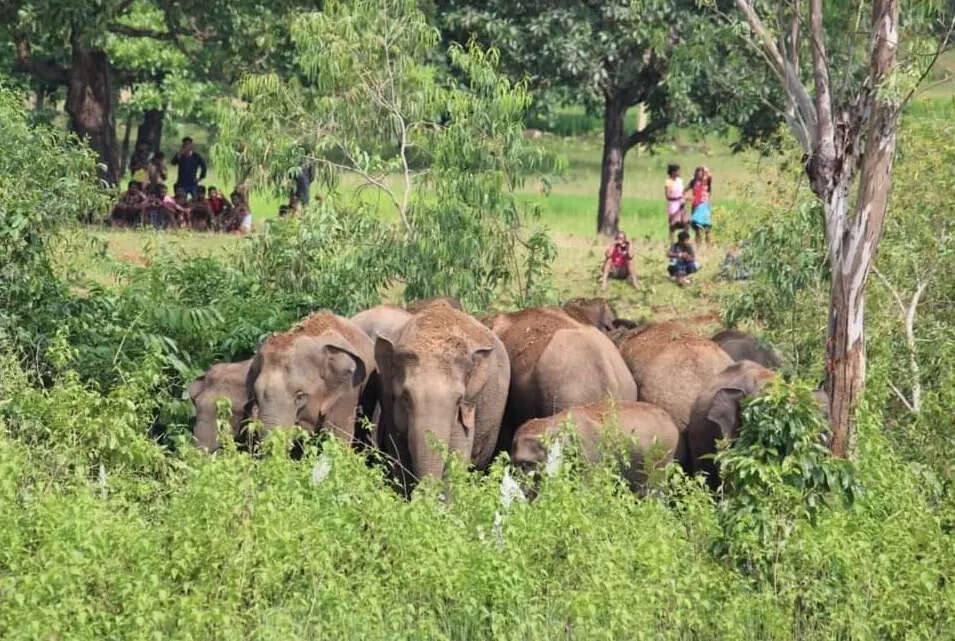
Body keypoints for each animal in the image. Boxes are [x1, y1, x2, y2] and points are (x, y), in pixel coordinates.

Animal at [375, 303, 510, 486]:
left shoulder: (467, 406)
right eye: (405, 397)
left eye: (458, 400)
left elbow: (459, 452)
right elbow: (399, 454)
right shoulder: (388, 398)